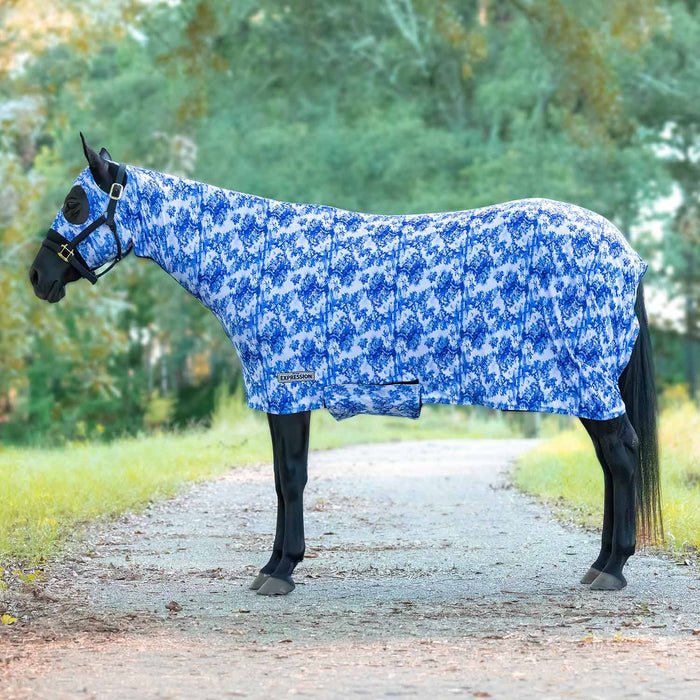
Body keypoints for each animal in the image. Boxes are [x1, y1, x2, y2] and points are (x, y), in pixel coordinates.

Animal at [29, 134, 662, 596]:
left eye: (74, 203)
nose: (38, 277)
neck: (255, 258)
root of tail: (626, 253)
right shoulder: (289, 394)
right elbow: (286, 479)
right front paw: (279, 564)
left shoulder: (289, 389)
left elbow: (289, 479)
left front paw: (279, 571)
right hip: (588, 388)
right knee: (612, 461)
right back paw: (600, 562)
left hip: (587, 382)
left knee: (622, 455)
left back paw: (613, 568)